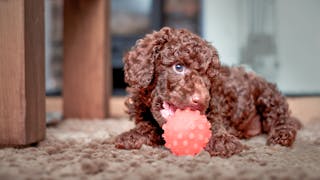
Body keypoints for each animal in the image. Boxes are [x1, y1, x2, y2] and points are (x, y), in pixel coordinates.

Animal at [114, 27, 300, 158]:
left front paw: (222, 141)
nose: (202, 100)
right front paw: (132, 136)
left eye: (207, 75)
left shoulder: (215, 108)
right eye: (178, 67)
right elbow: (146, 126)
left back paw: (281, 136)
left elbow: (213, 125)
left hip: (267, 96)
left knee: (282, 119)